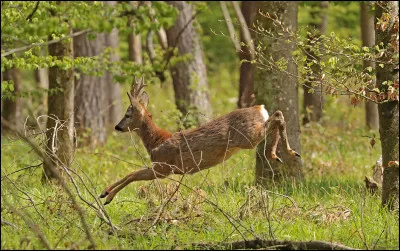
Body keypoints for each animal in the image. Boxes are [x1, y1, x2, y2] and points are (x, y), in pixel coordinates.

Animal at [100, 77, 300, 205]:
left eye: (127, 114)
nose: (117, 126)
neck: (155, 142)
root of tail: (260, 108)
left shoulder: (163, 167)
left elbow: (132, 175)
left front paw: (108, 197)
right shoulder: (162, 167)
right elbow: (131, 174)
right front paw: (104, 192)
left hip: (248, 137)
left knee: (277, 116)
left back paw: (287, 152)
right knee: (277, 117)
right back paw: (278, 154)